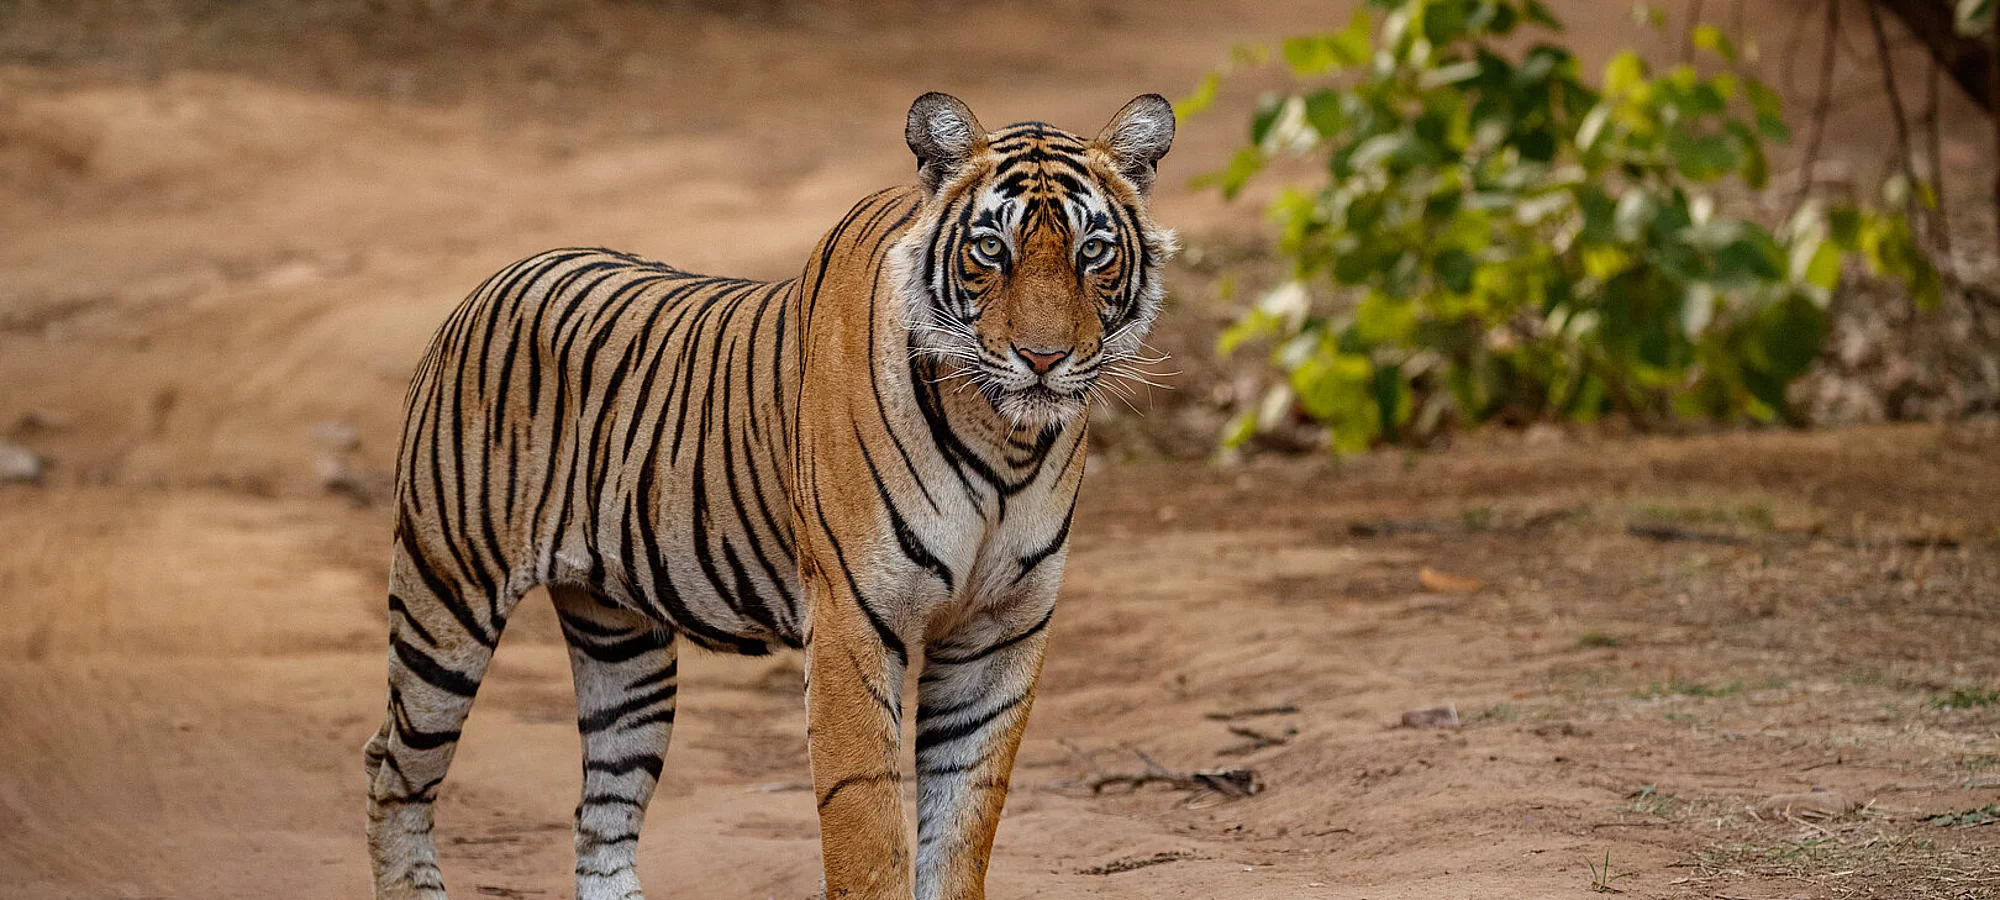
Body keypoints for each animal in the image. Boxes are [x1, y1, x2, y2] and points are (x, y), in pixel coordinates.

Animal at [362, 91, 1176, 900]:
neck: (1005, 441)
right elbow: (867, 828)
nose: (1042, 358)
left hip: (622, 647)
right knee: (392, 771)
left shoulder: (1002, 632)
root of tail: (492, 280)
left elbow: (959, 829)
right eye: (989, 250)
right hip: (446, 601)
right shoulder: (853, 622)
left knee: (601, 814)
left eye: (1092, 251)